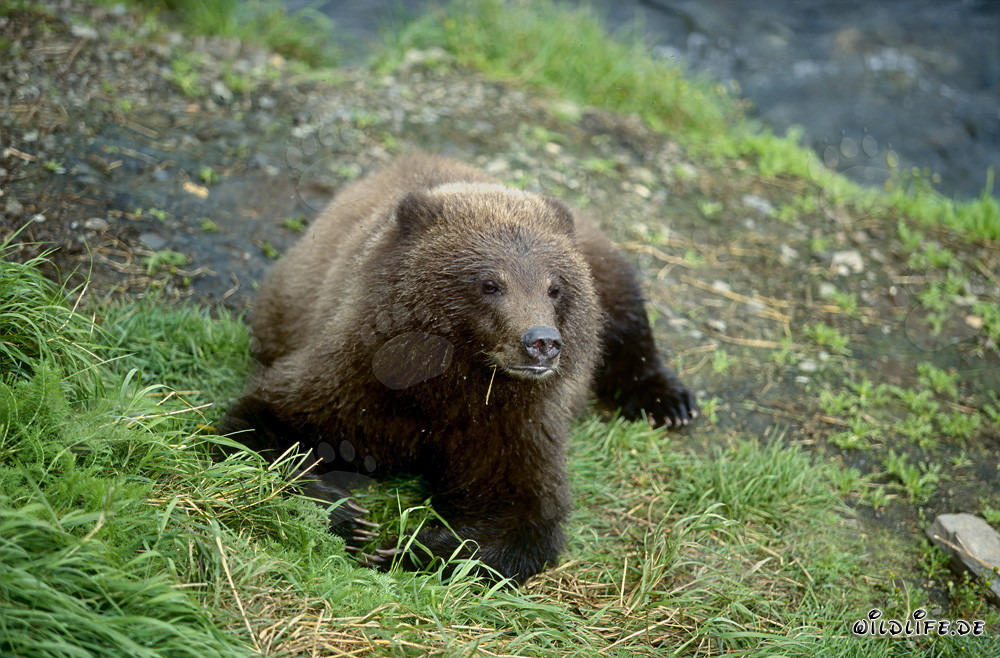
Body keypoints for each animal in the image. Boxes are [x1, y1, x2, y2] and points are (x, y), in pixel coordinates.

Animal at [220, 153, 698, 584]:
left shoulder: (511, 423)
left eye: (554, 286)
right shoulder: (352, 384)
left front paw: (411, 547)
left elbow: (522, 513)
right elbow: (258, 426)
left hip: (601, 265)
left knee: (627, 313)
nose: (542, 342)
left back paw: (670, 402)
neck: (448, 385)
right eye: (489, 283)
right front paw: (350, 517)